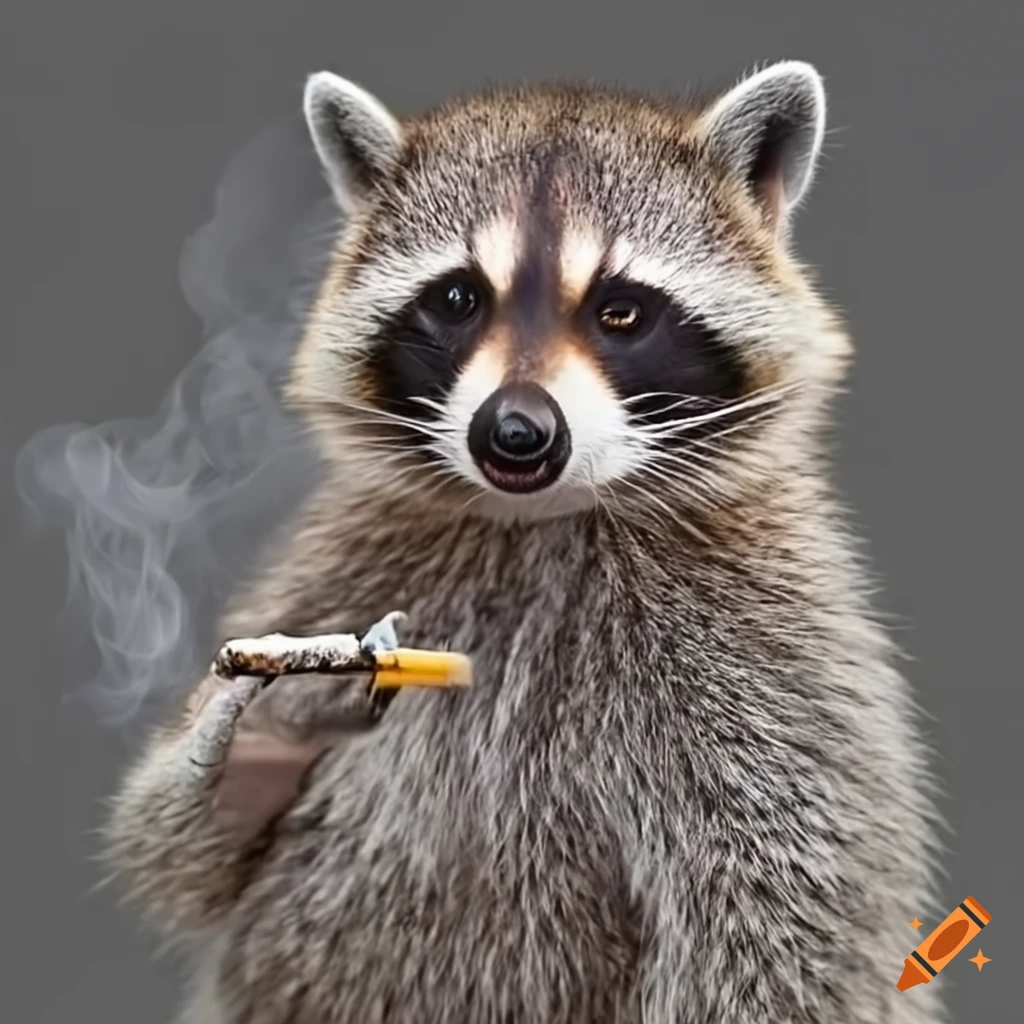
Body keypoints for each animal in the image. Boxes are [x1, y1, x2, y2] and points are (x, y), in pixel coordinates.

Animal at [103, 61, 944, 1024]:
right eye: (458, 299)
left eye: (622, 312)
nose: (514, 432)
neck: (542, 521)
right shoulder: (344, 565)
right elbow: (172, 854)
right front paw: (257, 720)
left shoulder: (772, 650)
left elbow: (796, 914)